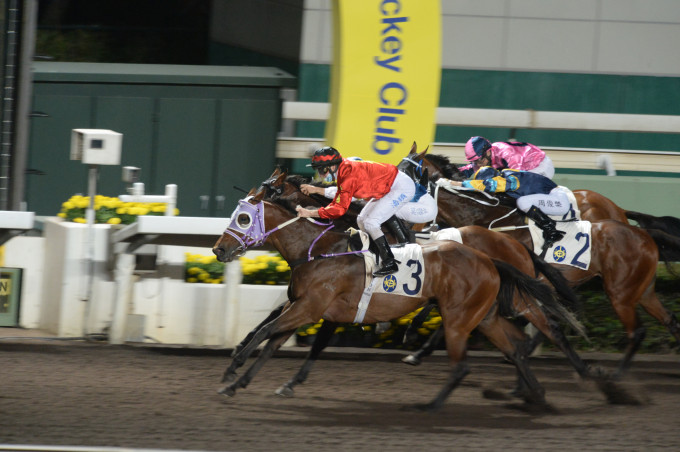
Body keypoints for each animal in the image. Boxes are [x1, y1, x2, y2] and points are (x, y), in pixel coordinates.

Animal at [212, 187, 572, 410]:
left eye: (243, 218)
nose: (219, 250)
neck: (318, 251)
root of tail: (497, 255)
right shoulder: (303, 306)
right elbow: (271, 341)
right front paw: (238, 381)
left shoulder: (310, 308)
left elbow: (266, 332)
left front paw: (233, 368)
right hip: (484, 315)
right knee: (515, 345)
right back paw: (534, 395)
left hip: (470, 315)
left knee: (534, 332)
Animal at [396, 146, 680, 378]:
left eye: (407, 179)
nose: (401, 230)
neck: (485, 218)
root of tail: (619, 211)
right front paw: (416, 345)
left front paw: (415, 342)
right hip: (634, 288)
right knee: (668, 320)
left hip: (618, 291)